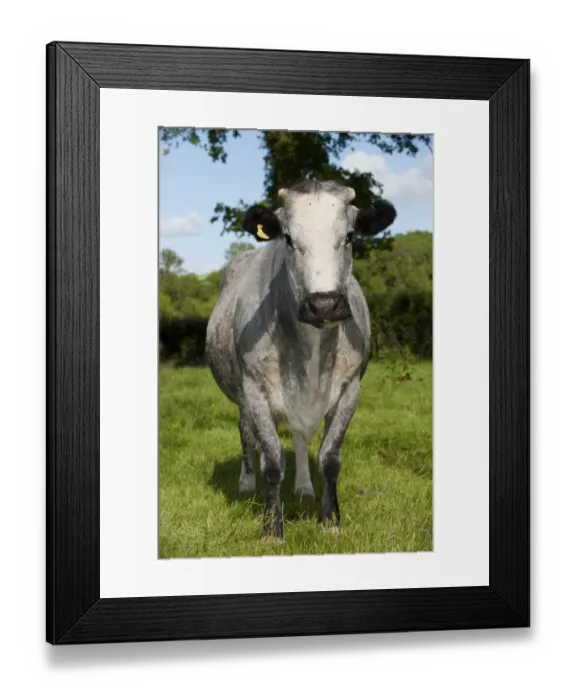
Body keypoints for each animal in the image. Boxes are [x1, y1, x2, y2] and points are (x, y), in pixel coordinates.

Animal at [205, 180, 397, 540]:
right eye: (289, 239)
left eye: (350, 236)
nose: (324, 304)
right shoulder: (255, 389)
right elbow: (272, 461)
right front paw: (272, 529)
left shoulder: (350, 388)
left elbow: (330, 458)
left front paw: (330, 520)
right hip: (240, 394)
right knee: (246, 432)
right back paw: (246, 482)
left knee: (299, 434)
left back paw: (305, 488)